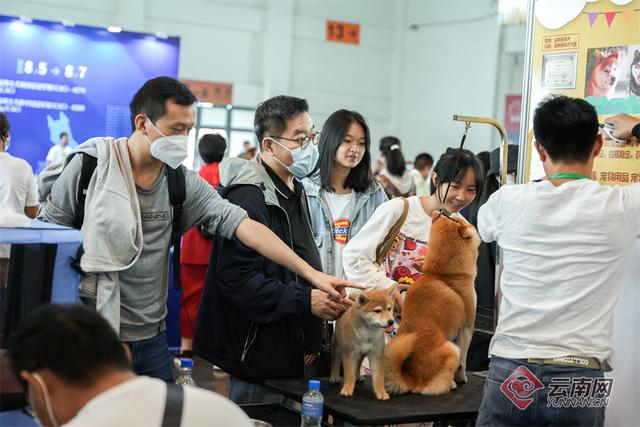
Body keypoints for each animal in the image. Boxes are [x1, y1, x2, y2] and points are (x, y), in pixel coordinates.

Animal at [382, 214, 478, 398]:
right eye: (459, 221)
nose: (447, 212)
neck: (442, 275)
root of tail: (410, 378)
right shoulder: (466, 329)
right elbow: (464, 360)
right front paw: (462, 378)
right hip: (451, 349)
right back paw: (451, 383)